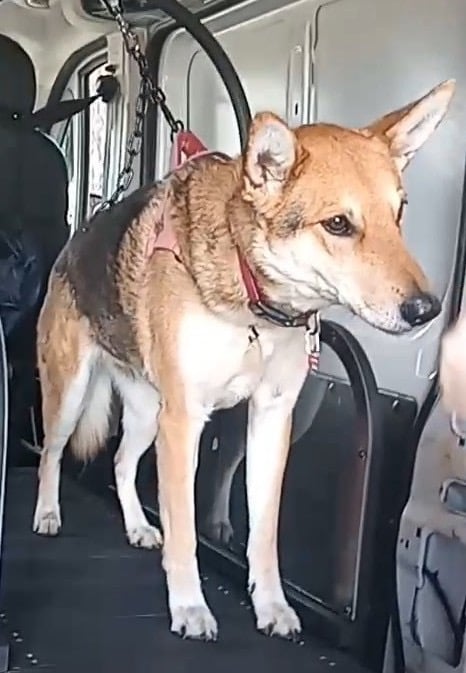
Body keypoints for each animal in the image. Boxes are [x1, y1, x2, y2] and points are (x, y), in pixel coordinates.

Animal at [33, 78, 454, 641]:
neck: (255, 301)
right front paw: (190, 606)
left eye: (399, 212)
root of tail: (74, 242)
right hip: (73, 395)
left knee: (121, 462)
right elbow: (184, 530)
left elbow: (265, 533)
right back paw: (48, 514)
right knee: (51, 454)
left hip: (148, 414)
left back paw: (139, 526)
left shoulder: (271, 420)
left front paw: (271, 605)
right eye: (338, 224)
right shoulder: (186, 421)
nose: (426, 310)